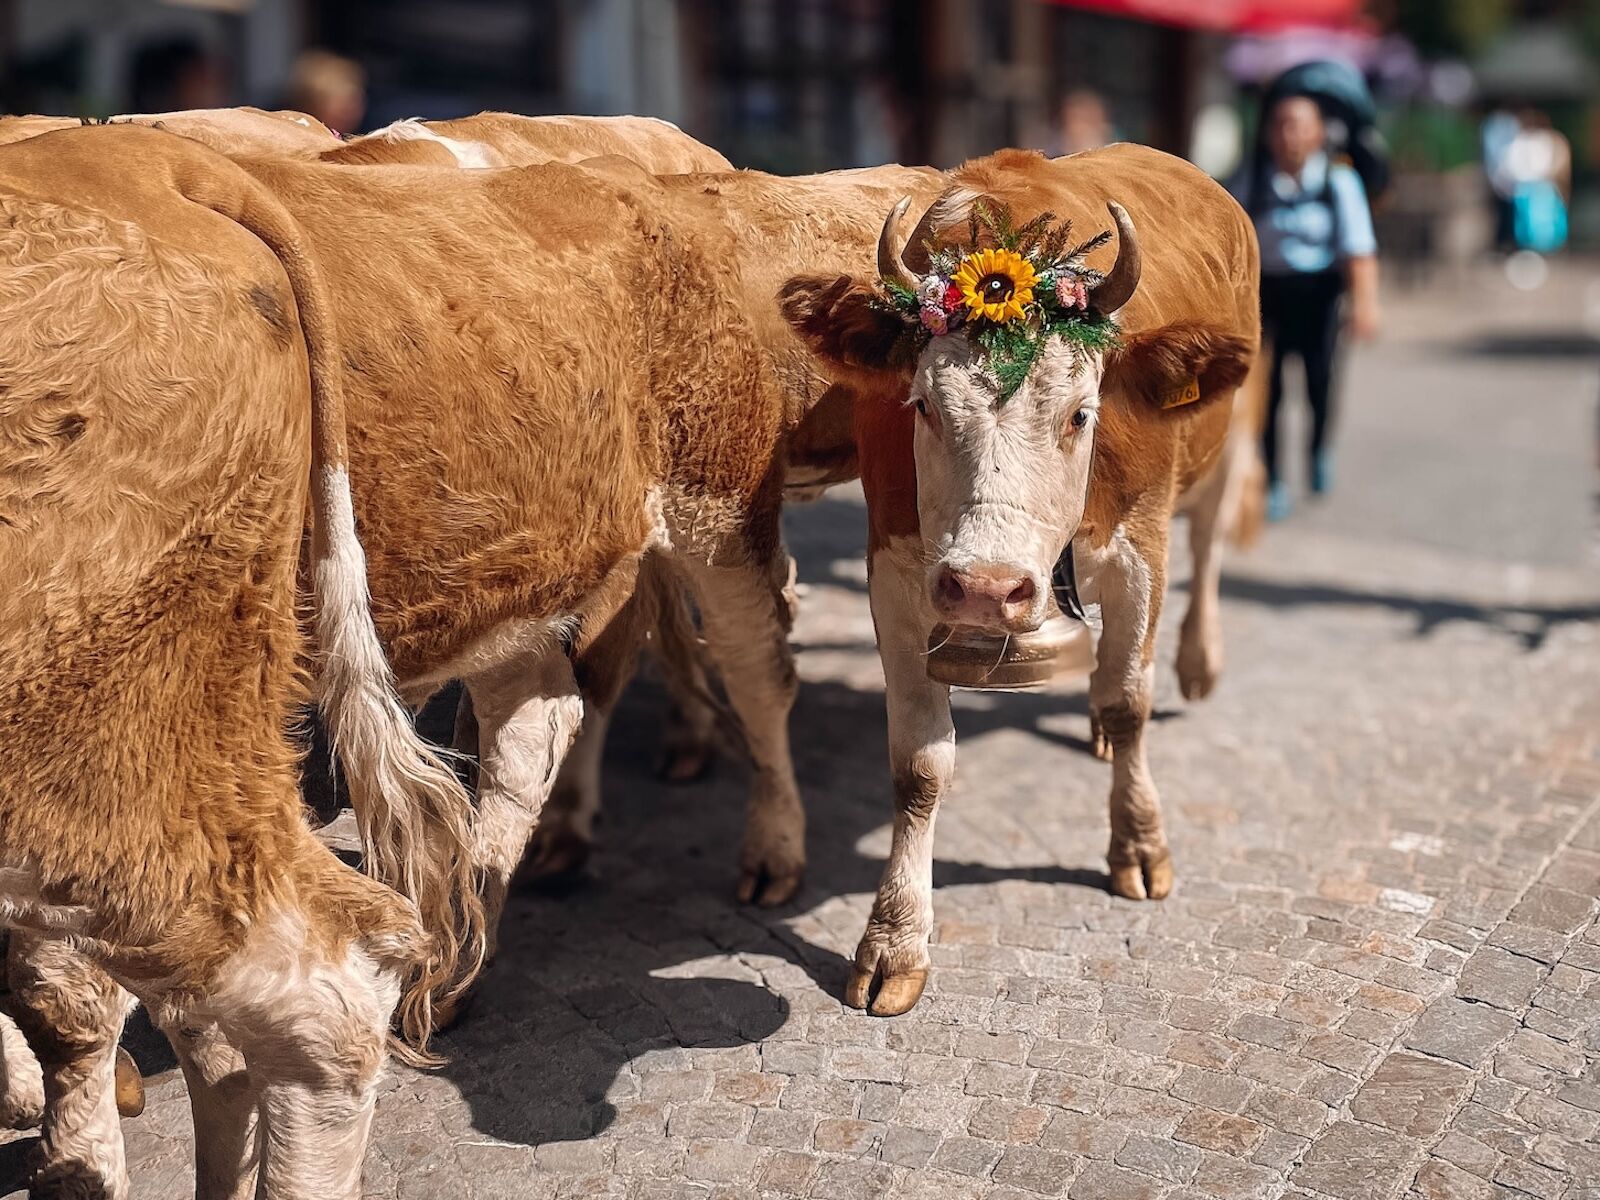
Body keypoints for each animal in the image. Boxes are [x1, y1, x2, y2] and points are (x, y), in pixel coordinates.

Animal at [777, 145, 1260, 1017]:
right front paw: (895, 939)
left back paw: (1197, 661)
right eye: (923, 406)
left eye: (1080, 414)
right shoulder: (896, 574)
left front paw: (1139, 842)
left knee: (1209, 540)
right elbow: (917, 766)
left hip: (1222, 437)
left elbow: (1130, 702)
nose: (986, 589)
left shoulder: (1140, 553)